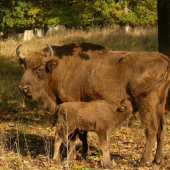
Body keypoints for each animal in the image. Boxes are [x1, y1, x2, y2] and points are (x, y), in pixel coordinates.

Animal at [16, 42, 170, 166]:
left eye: (39, 69)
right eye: (23, 68)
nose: (23, 88)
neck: (60, 67)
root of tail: (164, 59)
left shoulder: (71, 104)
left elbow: (74, 135)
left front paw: (72, 157)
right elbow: (82, 133)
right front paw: (84, 154)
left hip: (146, 103)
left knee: (151, 130)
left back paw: (142, 162)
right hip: (160, 103)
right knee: (162, 128)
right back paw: (157, 160)